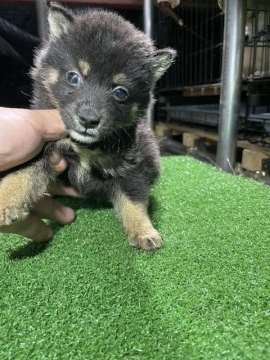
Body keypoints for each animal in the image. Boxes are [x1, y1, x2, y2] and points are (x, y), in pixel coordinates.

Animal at [0, 3, 175, 250]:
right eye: (74, 78)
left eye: (120, 92)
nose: (88, 120)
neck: (84, 146)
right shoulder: (43, 145)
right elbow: (23, 170)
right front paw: (6, 200)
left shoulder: (132, 164)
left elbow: (134, 200)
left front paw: (143, 231)